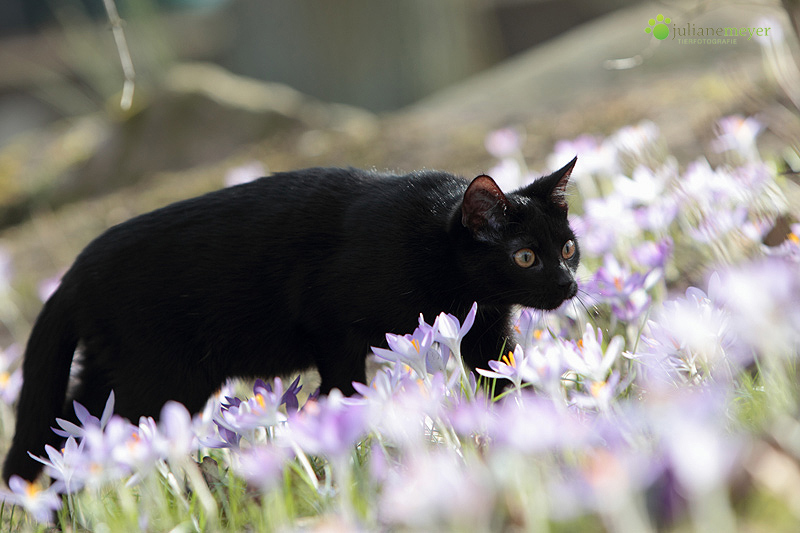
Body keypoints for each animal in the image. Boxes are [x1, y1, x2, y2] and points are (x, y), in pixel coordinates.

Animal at [0, 158, 580, 482]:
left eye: (569, 248)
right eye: (525, 256)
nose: (568, 285)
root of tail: (76, 270)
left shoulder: (485, 337)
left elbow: (505, 382)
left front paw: (539, 432)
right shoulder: (333, 328)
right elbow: (342, 387)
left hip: (111, 375)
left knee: (68, 433)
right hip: (159, 380)